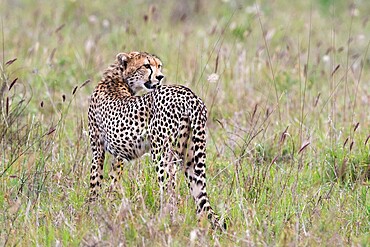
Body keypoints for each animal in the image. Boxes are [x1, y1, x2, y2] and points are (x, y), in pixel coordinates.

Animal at [88, 50, 224, 230]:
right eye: (146, 65)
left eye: (158, 65)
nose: (160, 77)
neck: (117, 79)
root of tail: (190, 95)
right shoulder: (119, 155)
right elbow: (113, 182)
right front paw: (107, 207)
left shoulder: (98, 150)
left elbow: (95, 183)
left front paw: (90, 213)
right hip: (191, 158)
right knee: (199, 200)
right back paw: (198, 229)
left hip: (161, 155)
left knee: (171, 195)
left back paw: (164, 224)